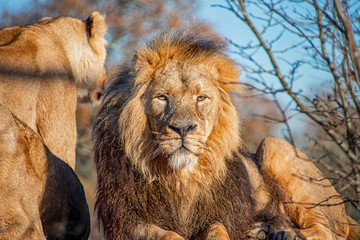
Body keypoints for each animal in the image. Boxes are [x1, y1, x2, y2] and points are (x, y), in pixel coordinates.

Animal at [93, 31, 358, 239]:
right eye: (162, 97)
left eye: (201, 98)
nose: (183, 128)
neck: (180, 179)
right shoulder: (128, 220)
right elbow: (166, 234)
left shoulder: (221, 214)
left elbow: (217, 229)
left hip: (272, 145)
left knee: (327, 232)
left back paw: (284, 233)